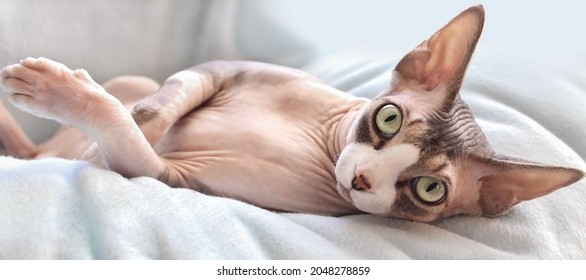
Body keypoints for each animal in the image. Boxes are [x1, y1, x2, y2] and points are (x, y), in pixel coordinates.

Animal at [1, 4, 580, 221]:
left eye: (429, 190)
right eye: (389, 118)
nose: (363, 179)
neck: (321, 141)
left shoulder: (162, 176)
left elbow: (123, 138)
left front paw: (72, 108)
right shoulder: (222, 67)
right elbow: (152, 110)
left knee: (32, 155)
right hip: (137, 80)